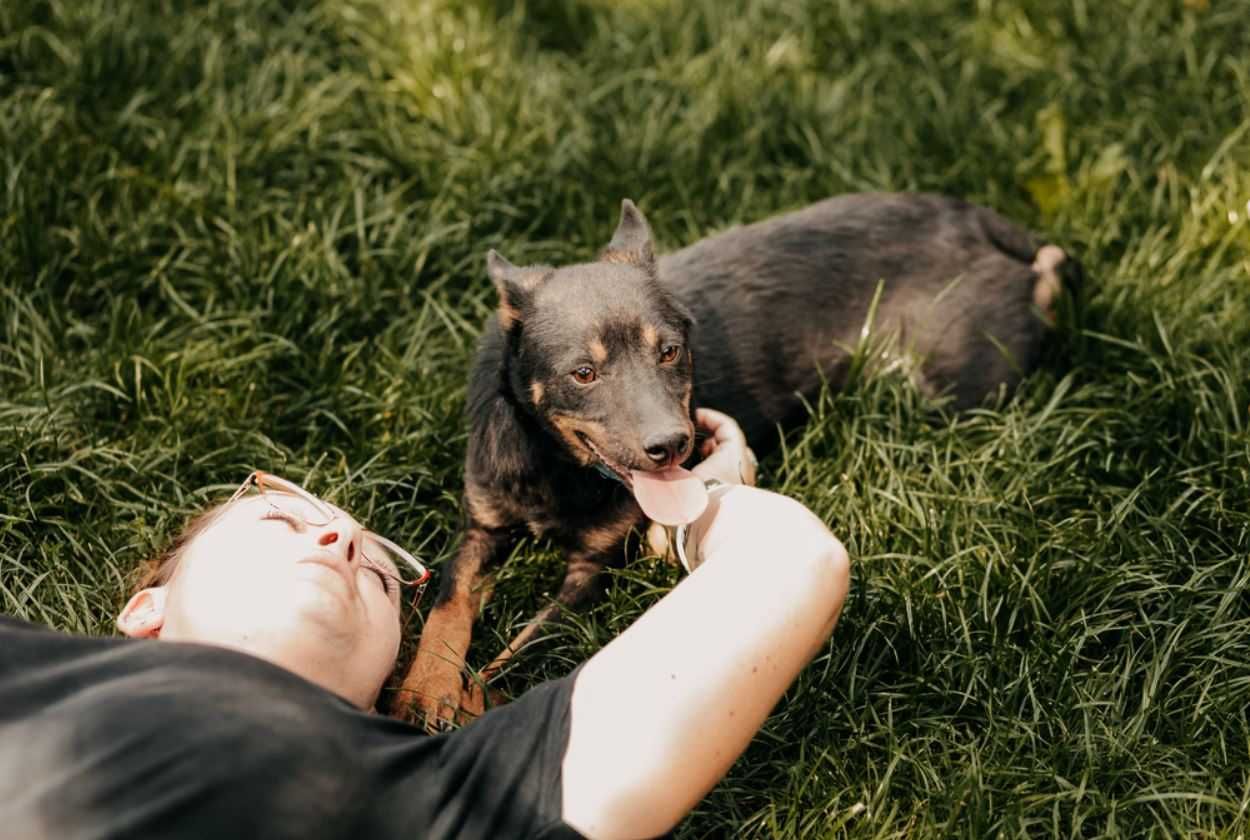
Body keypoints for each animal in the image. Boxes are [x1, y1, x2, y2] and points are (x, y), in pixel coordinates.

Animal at [397, 190, 1075, 730]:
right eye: (583, 373)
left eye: (671, 351)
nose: (674, 445)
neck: (557, 465)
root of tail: (979, 224)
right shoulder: (482, 526)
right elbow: (448, 606)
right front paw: (423, 690)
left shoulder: (594, 569)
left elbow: (523, 649)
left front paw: (469, 702)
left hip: (946, 382)